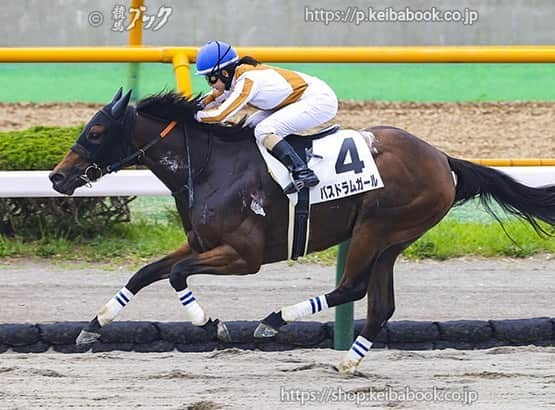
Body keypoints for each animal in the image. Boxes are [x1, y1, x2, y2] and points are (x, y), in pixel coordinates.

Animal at [50, 88, 552, 374]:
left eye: (96, 131)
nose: (57, 177)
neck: (211, 165)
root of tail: (442, 158)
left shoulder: (244, 257)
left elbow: (175, 276)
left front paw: (211, 323)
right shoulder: (200, 242)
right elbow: (144, 273)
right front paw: (92, 327)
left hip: (376, 226)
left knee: (352, 287)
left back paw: (274, 321)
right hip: (393, 240)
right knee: (380, 304)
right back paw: (348, 362)